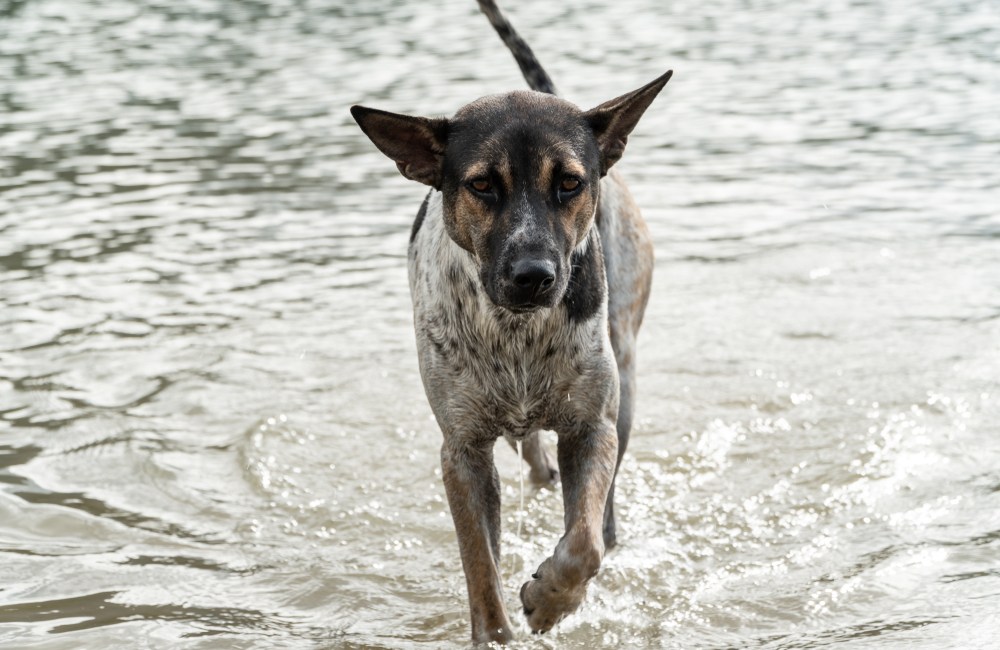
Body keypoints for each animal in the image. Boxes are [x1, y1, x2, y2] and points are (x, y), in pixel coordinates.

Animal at [352, 0, 672, 644]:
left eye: (570, 182)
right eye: (481, 185)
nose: (534, 275)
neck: (516, 333)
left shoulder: (591, 427)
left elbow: (583, 544)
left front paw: (549, 600)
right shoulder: (461, 452)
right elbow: (480, 568)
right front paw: (496, 631)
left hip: (623, 377)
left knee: (601, 512)